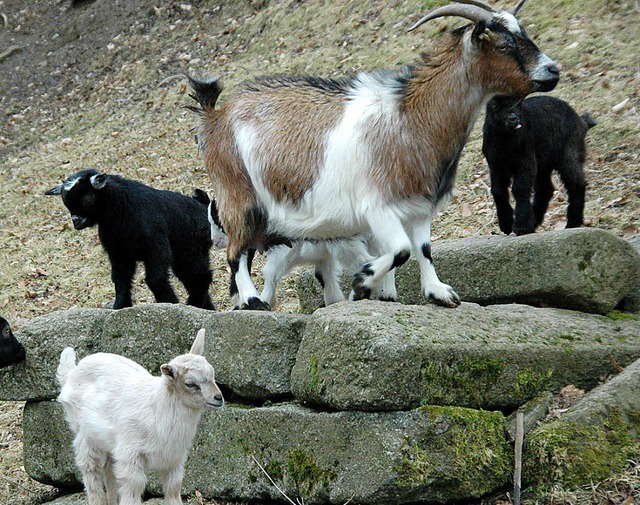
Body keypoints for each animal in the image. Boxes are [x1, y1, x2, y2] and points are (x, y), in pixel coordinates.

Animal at [188, 0, 556, 310]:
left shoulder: (419, 208)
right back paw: (252, 301)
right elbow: (401, 250)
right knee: (236, 253)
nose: (553, 71)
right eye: (504, 45)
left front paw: (436, 292)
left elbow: (423, 249)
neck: (411, 118)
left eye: (524, 34)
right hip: (238, 194)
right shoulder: (377, 207)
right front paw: (362, 285)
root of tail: (215, 117)